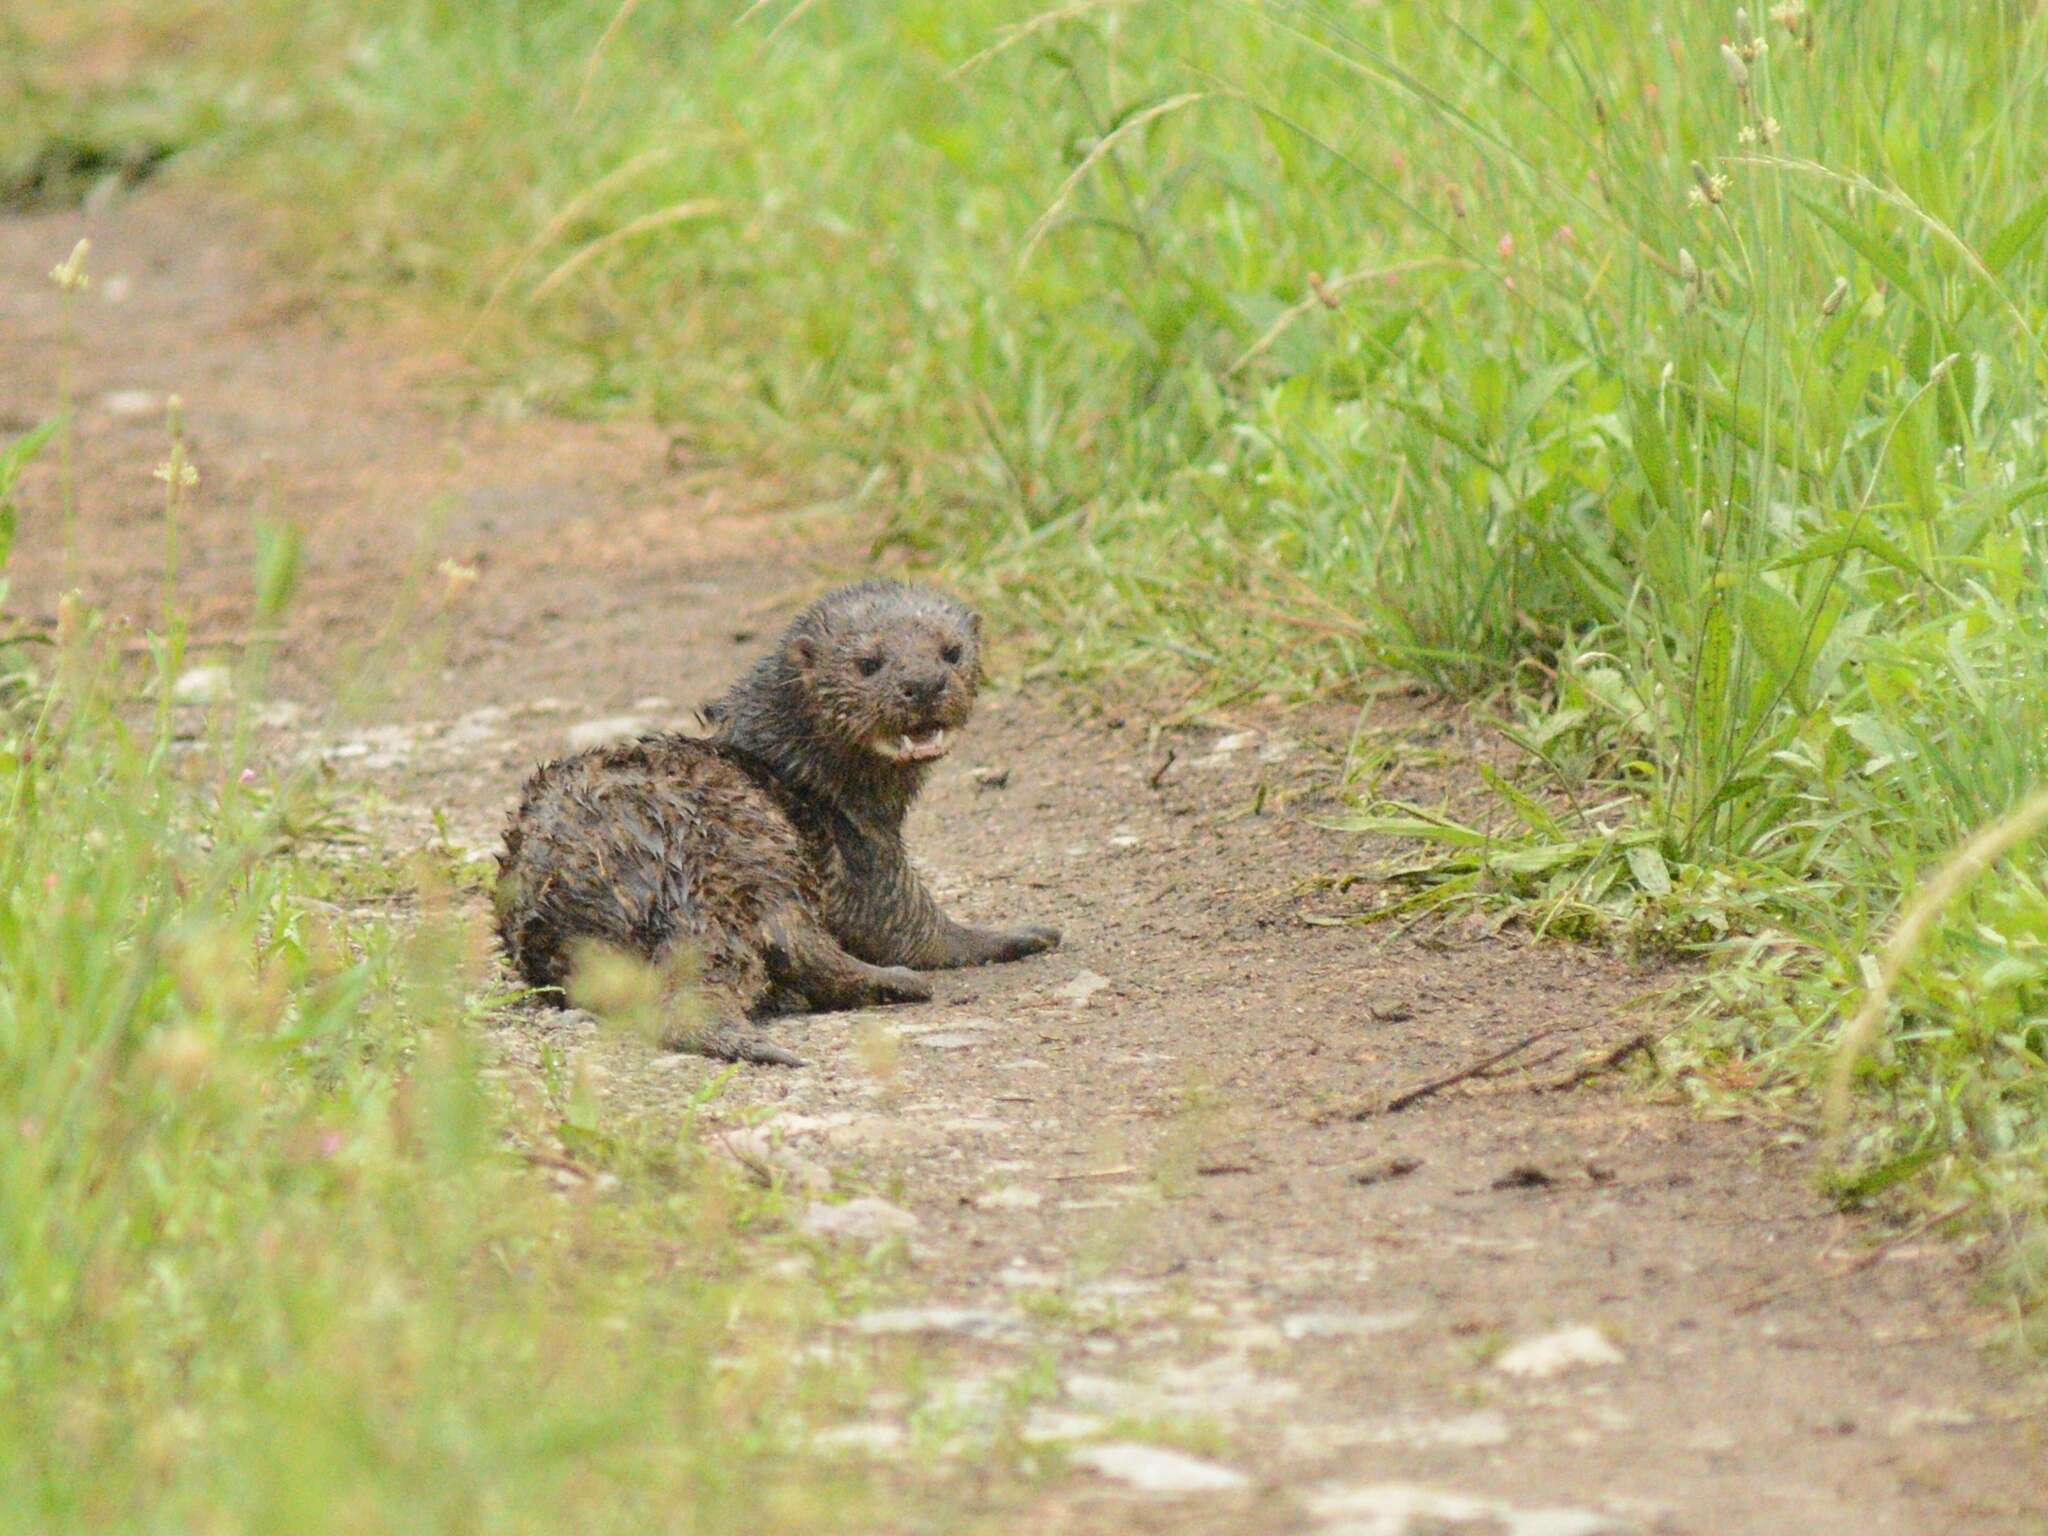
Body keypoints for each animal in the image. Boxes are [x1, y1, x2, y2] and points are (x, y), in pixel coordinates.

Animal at [491, 581, 1056, 1064]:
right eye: (868, 663)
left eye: (952, 652)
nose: (923, 684)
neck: (799, 772)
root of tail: (653, 886)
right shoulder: (859, 852)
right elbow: (909, 927)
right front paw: (1020, 934)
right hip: (755, 846)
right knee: (795, 943)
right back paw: (901, 983)